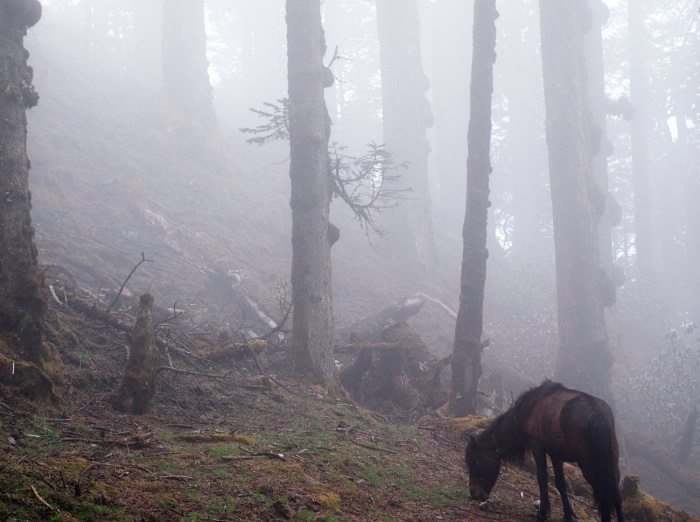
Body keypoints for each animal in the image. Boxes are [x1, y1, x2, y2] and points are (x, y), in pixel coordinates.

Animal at [464, 378, 624, 520]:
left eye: (475, 461)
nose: (473, 493)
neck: (531, 408)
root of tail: (597, 413)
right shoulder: (555, 453)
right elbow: (560, 483)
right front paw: (568, 514)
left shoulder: (537, 445)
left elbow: (542, 477)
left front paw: (543, 512)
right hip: (611, 462)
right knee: (616, 494)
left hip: (589, 465)